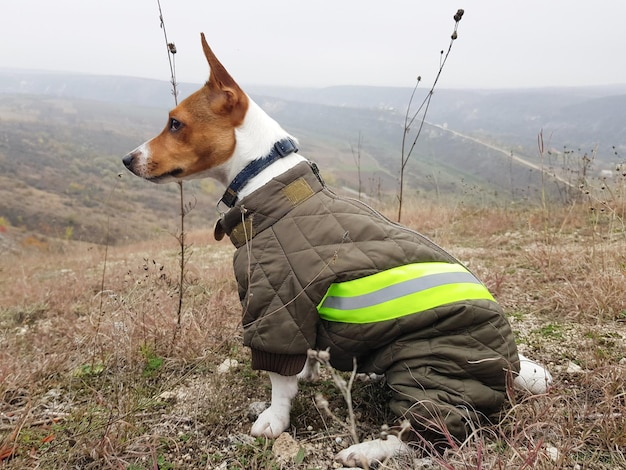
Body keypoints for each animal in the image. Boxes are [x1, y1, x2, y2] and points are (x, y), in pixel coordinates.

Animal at [123, 33, 552, 466]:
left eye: (176, 123)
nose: (126, 159)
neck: (265, 178)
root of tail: (510, 366)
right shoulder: (301, 314)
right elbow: (306, 356)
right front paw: (307, 373)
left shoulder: (276, 307)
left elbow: (278, 379)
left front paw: (274, 417)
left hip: (425, 367)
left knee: (429, 433)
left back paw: (366, 449)